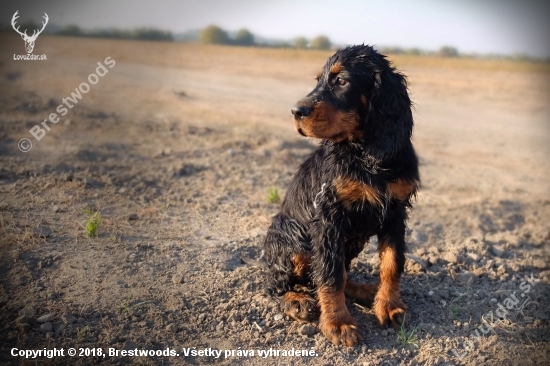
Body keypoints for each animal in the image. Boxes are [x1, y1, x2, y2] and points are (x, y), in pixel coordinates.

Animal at [266, 45, 420, 346]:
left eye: (341, 81)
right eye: (318, 80)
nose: (296, 110)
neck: (367, 154)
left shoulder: (395, 211)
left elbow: (391, 263)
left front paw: (389, 306)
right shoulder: (328, 217)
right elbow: (330, 272)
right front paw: (337, 323)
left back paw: (367, 291)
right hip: (290, 241)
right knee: (277, 284)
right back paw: (296, 301)